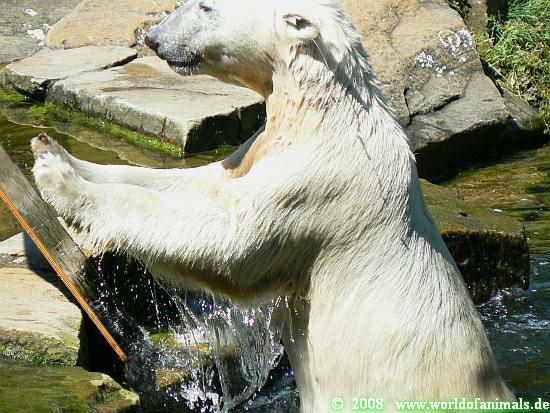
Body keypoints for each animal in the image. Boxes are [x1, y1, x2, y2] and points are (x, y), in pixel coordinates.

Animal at [31, 0, 513, 411]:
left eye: (206, 6)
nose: (153, 38)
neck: (323, 112)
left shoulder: (321, 184)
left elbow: (231, 242)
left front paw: (60, 180)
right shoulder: (263, 148)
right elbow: (201, 183)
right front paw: (53, 149)